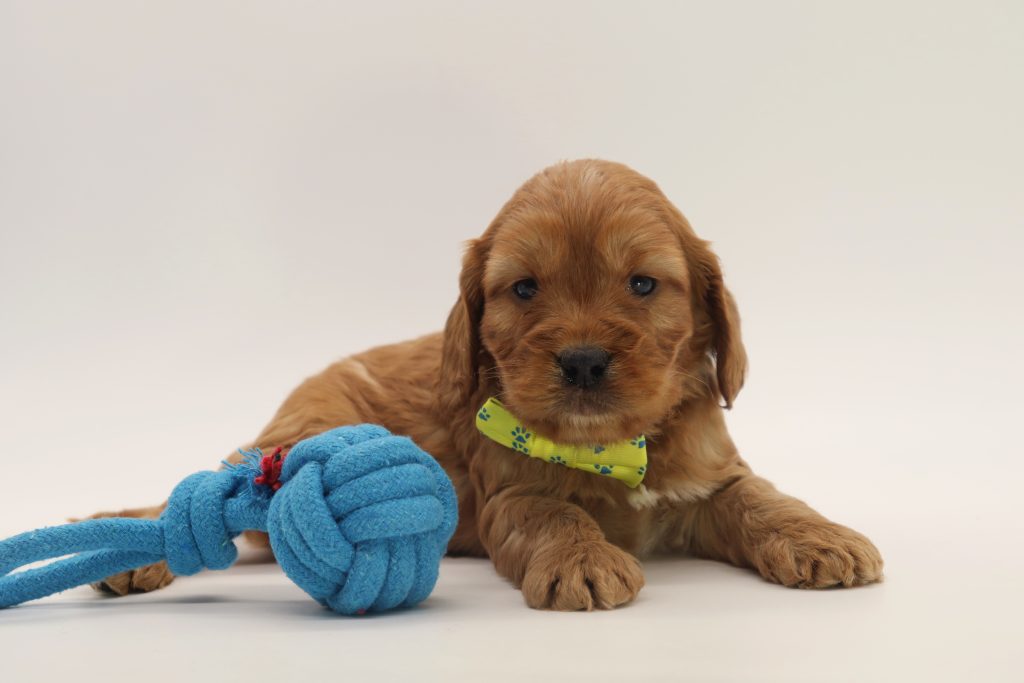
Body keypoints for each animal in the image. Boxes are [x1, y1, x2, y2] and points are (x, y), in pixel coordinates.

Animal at [92, 158, 884, 610]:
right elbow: (553, 515)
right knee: (202, 496)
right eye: (525, 289)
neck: (613, 446)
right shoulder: (512, 493)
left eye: (642, 284)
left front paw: (824, 539)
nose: (584, 360)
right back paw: (127, 546)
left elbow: (762, 498)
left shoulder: (711, 476)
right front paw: (584, 561)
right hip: (294, 444)